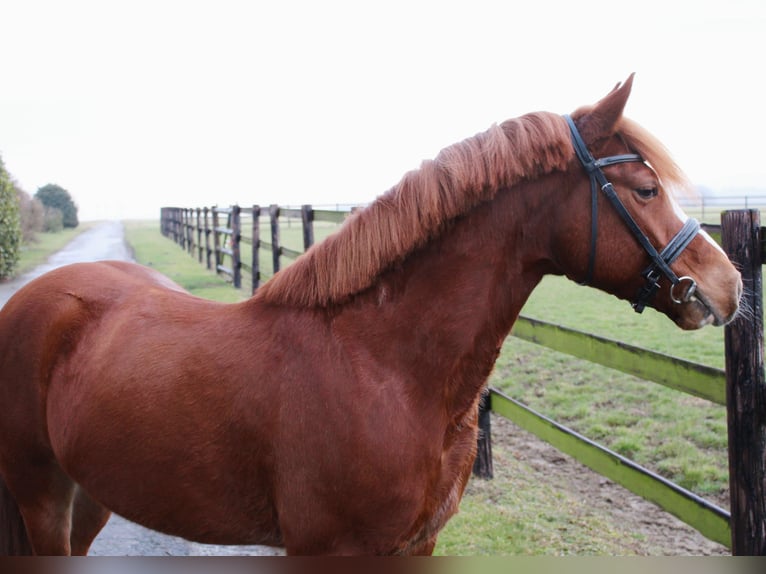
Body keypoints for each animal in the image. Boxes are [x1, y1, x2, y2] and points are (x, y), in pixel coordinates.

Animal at [0, 75, 742, 555]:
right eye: (644, 189)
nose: (729, 285)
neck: (384, 367)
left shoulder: (418, 546)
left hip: (90, 495)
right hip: (40, 496)